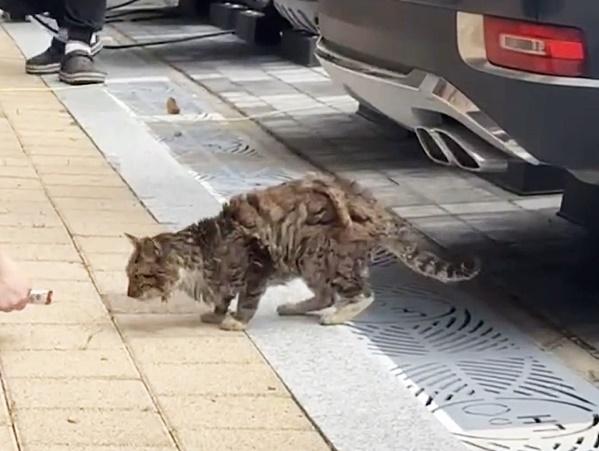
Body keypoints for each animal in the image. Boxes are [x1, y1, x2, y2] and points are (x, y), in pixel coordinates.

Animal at [124, 176, 480, 332]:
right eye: (128, 276)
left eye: (139, 276)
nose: (128, 294)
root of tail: (379, 209)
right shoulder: (225, 279)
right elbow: (223, 297)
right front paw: (216, 313)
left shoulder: (256, 266)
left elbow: (246, 301)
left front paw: (235, 321)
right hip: (311, 263)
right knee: (325, 295)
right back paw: (293, 307)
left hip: (330, 259)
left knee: (363, 294)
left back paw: (335, 317)